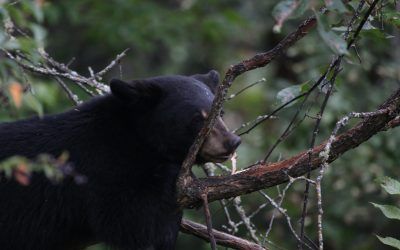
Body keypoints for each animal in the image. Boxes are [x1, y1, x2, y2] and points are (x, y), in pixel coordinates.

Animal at [0, 70, 241, 250]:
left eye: (220, 113)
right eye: (197, 118)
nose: (232, 142)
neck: (135, 136)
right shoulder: (100, 166)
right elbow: (129, 220)